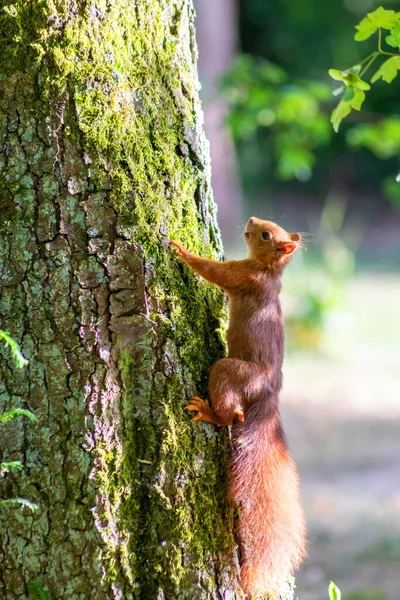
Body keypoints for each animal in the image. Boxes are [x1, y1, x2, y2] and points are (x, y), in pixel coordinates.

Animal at [171, 218, 306, 596]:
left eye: (266, 234)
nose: (250, 222)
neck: (267, 271)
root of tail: (268, 395)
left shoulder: (242, 276)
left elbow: (214, 272)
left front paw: (182, 251)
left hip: (231, 371)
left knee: (232, 412)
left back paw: (210, 411)